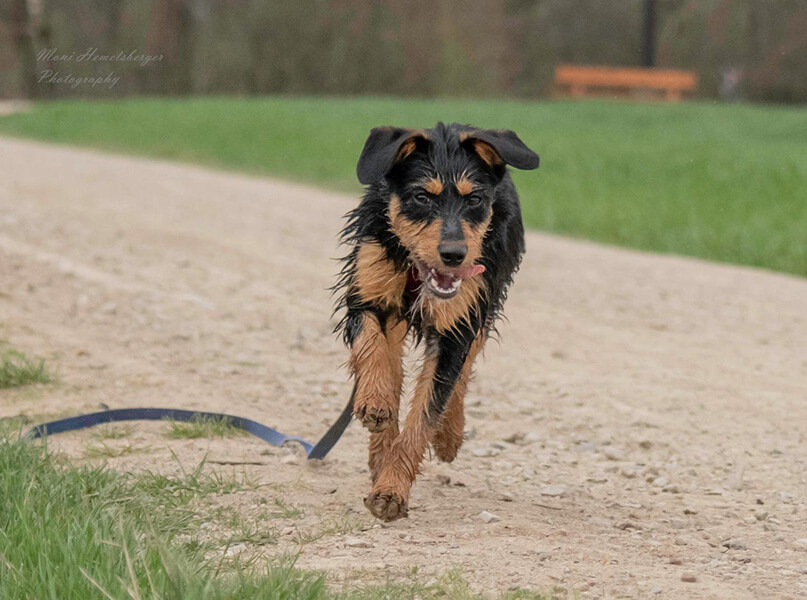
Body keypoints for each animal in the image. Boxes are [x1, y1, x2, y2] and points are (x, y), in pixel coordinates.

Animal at [335, 122, 539, 521]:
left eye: (474, 199)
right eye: (421, 196)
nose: (454, 254)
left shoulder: (459, 322)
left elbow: (427, 409)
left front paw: (391, 490)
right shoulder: (367, 292)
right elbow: (371, 343)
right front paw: (375, 399)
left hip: (484, 297)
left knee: (464, 367)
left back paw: (448, 435)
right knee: (393, 359)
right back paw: (381, 439)